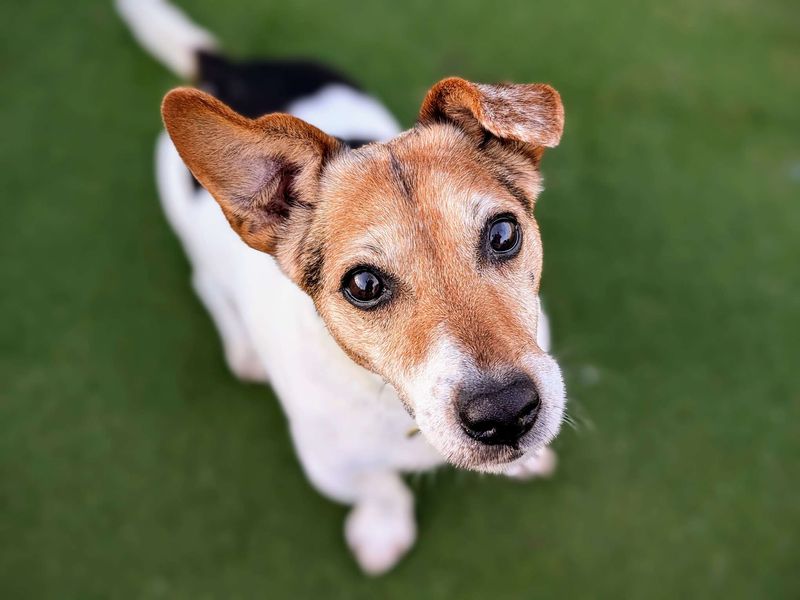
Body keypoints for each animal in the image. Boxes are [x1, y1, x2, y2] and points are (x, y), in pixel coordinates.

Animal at [119, 0, 568, 576]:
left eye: (504, 234)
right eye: (364, 284)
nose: (507, 413)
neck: (388, 399)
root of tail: (227, 71)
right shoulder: (327, 464)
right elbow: (380, 488)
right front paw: (382, 530)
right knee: (208, 285)